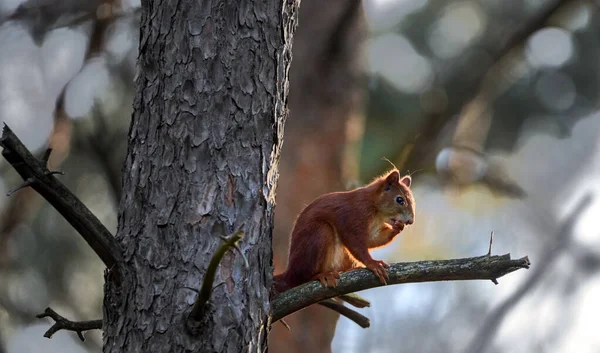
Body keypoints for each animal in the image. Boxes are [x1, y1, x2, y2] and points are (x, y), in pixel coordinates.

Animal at [274, 168, 414, 292]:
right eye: (400, 200)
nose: (410, 221)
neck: (375, 210)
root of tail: (288, 273)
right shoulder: (353, 216)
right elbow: (355, 243)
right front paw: (372, 263)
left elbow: (372, 240)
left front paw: (397, 228)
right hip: (319, 234)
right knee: (300, 278)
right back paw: (321, 275)